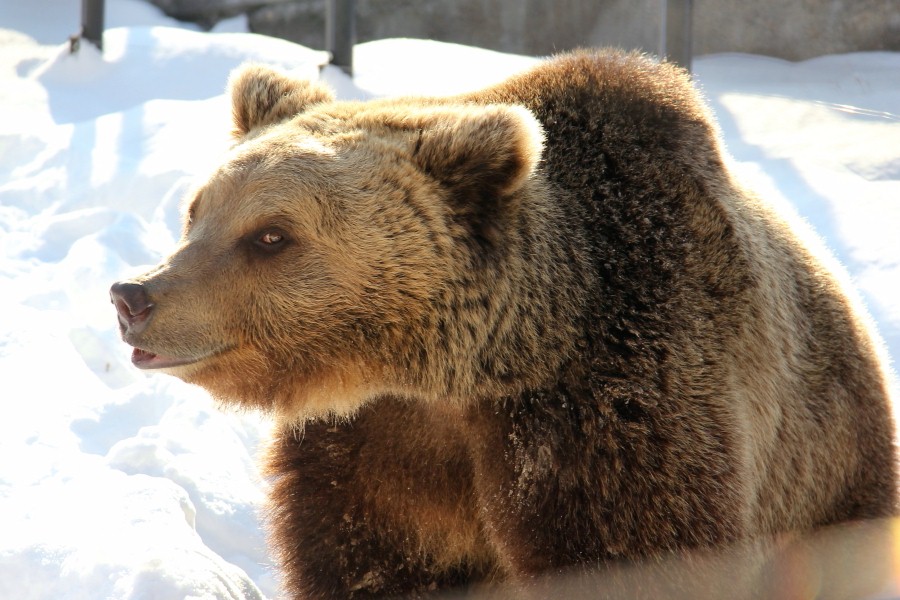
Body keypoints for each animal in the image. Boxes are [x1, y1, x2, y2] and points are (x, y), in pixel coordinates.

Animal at [109, 49, 896, 596]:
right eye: (197, 211)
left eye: (271, 235)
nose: (133, 295)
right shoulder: (371, 451)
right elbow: (373, 563)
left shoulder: (616, 414)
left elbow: (633, 556)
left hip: (828, 477)